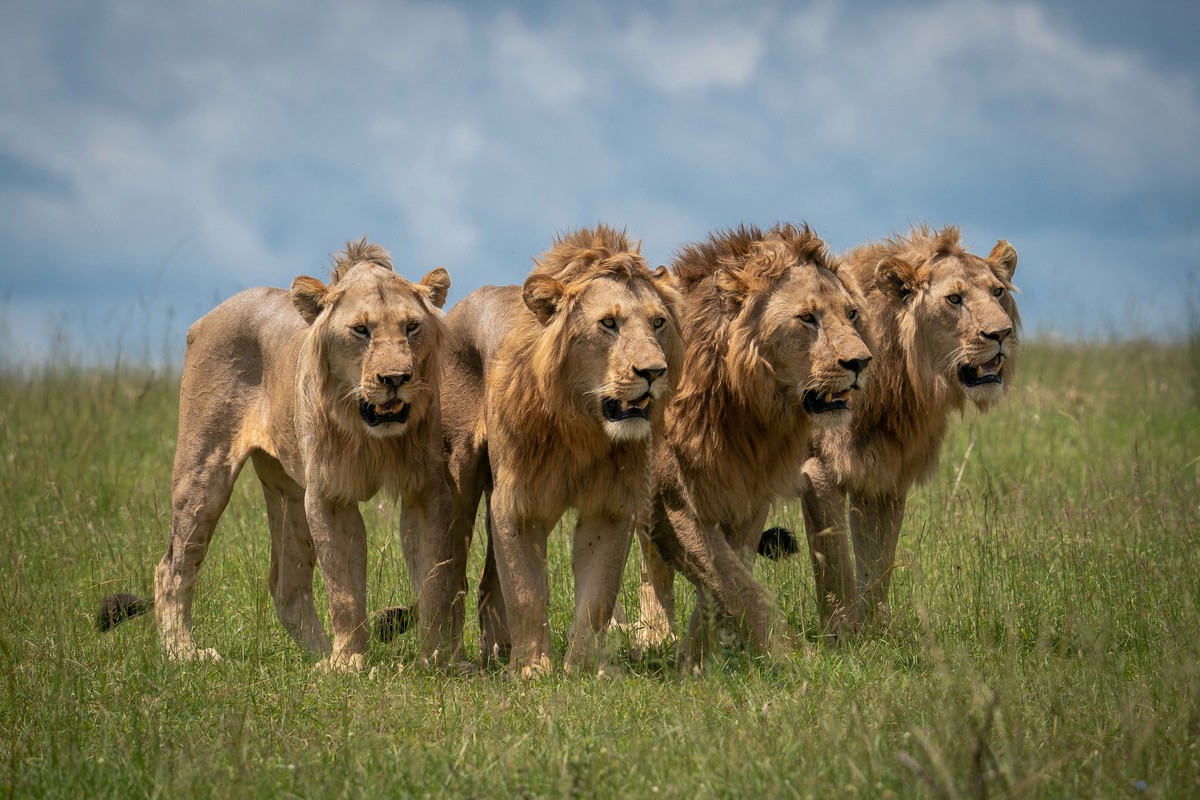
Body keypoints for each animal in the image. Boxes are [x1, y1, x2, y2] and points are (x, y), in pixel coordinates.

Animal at [99, 237, 458, 671]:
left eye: (411, 327)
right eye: (361, 330)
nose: (395, 379)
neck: (373, 436)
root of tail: (206, 318)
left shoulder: (425, 490)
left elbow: (434, 580)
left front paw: (437, 659)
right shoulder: (329, 495)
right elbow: (344, 587)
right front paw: (349, 665)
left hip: (286, 489)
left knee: (286, 583)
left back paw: (316, 654)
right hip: (203, 469)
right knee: (173, 565)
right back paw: (183, 652)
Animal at [434, 224, 681, 676]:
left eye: (657, 322)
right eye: (608, 324)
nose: (654, 372)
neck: (582, 426)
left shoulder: (610, 505)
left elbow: (597, 597)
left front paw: (582, 670)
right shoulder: (519, 503)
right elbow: (527, 592)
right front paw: (533, 671)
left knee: (489, 582)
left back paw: (499, 651)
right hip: (458, 479)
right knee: (452, 571)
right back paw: (453, 659)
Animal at [638, 225, 873, 671]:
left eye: (851, 314)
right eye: (807, 318)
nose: (862, 362)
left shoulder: (747, 495)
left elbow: (728, 575)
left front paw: (696, 662)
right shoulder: (674, 502)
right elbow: (734, 581)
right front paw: (798, 659)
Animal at [796, 224, 1022, 633]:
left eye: (998, 292)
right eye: (954, 299)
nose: (1002, 333)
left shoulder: (884, 477)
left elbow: (878, 564)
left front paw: (874, 634)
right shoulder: (819, 470)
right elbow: (837, 565)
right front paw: (841, 635)